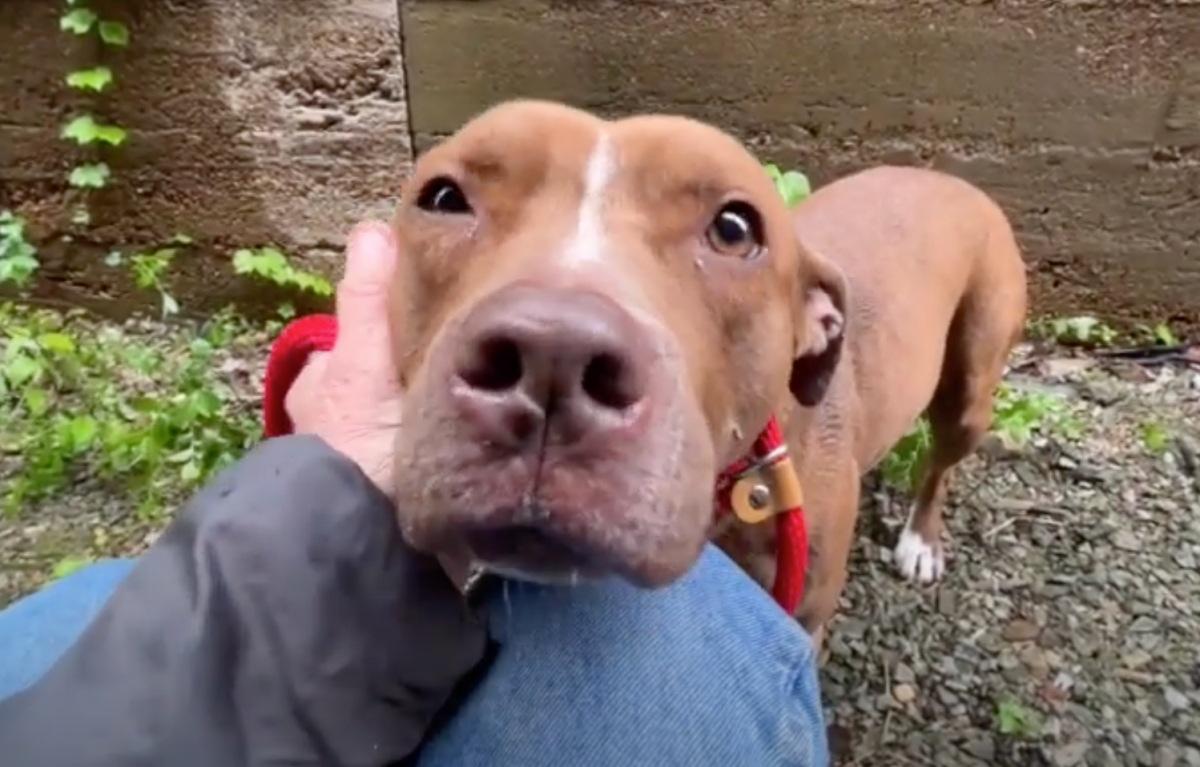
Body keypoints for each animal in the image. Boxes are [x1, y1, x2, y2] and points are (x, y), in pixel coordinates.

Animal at [388, 102, 1027, 638]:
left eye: (734, 229)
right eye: (444, 197)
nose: (552, 355)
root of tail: (952, 180)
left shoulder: (803, 616)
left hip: (972, 385)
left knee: (942, 459)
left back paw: (921, 538)